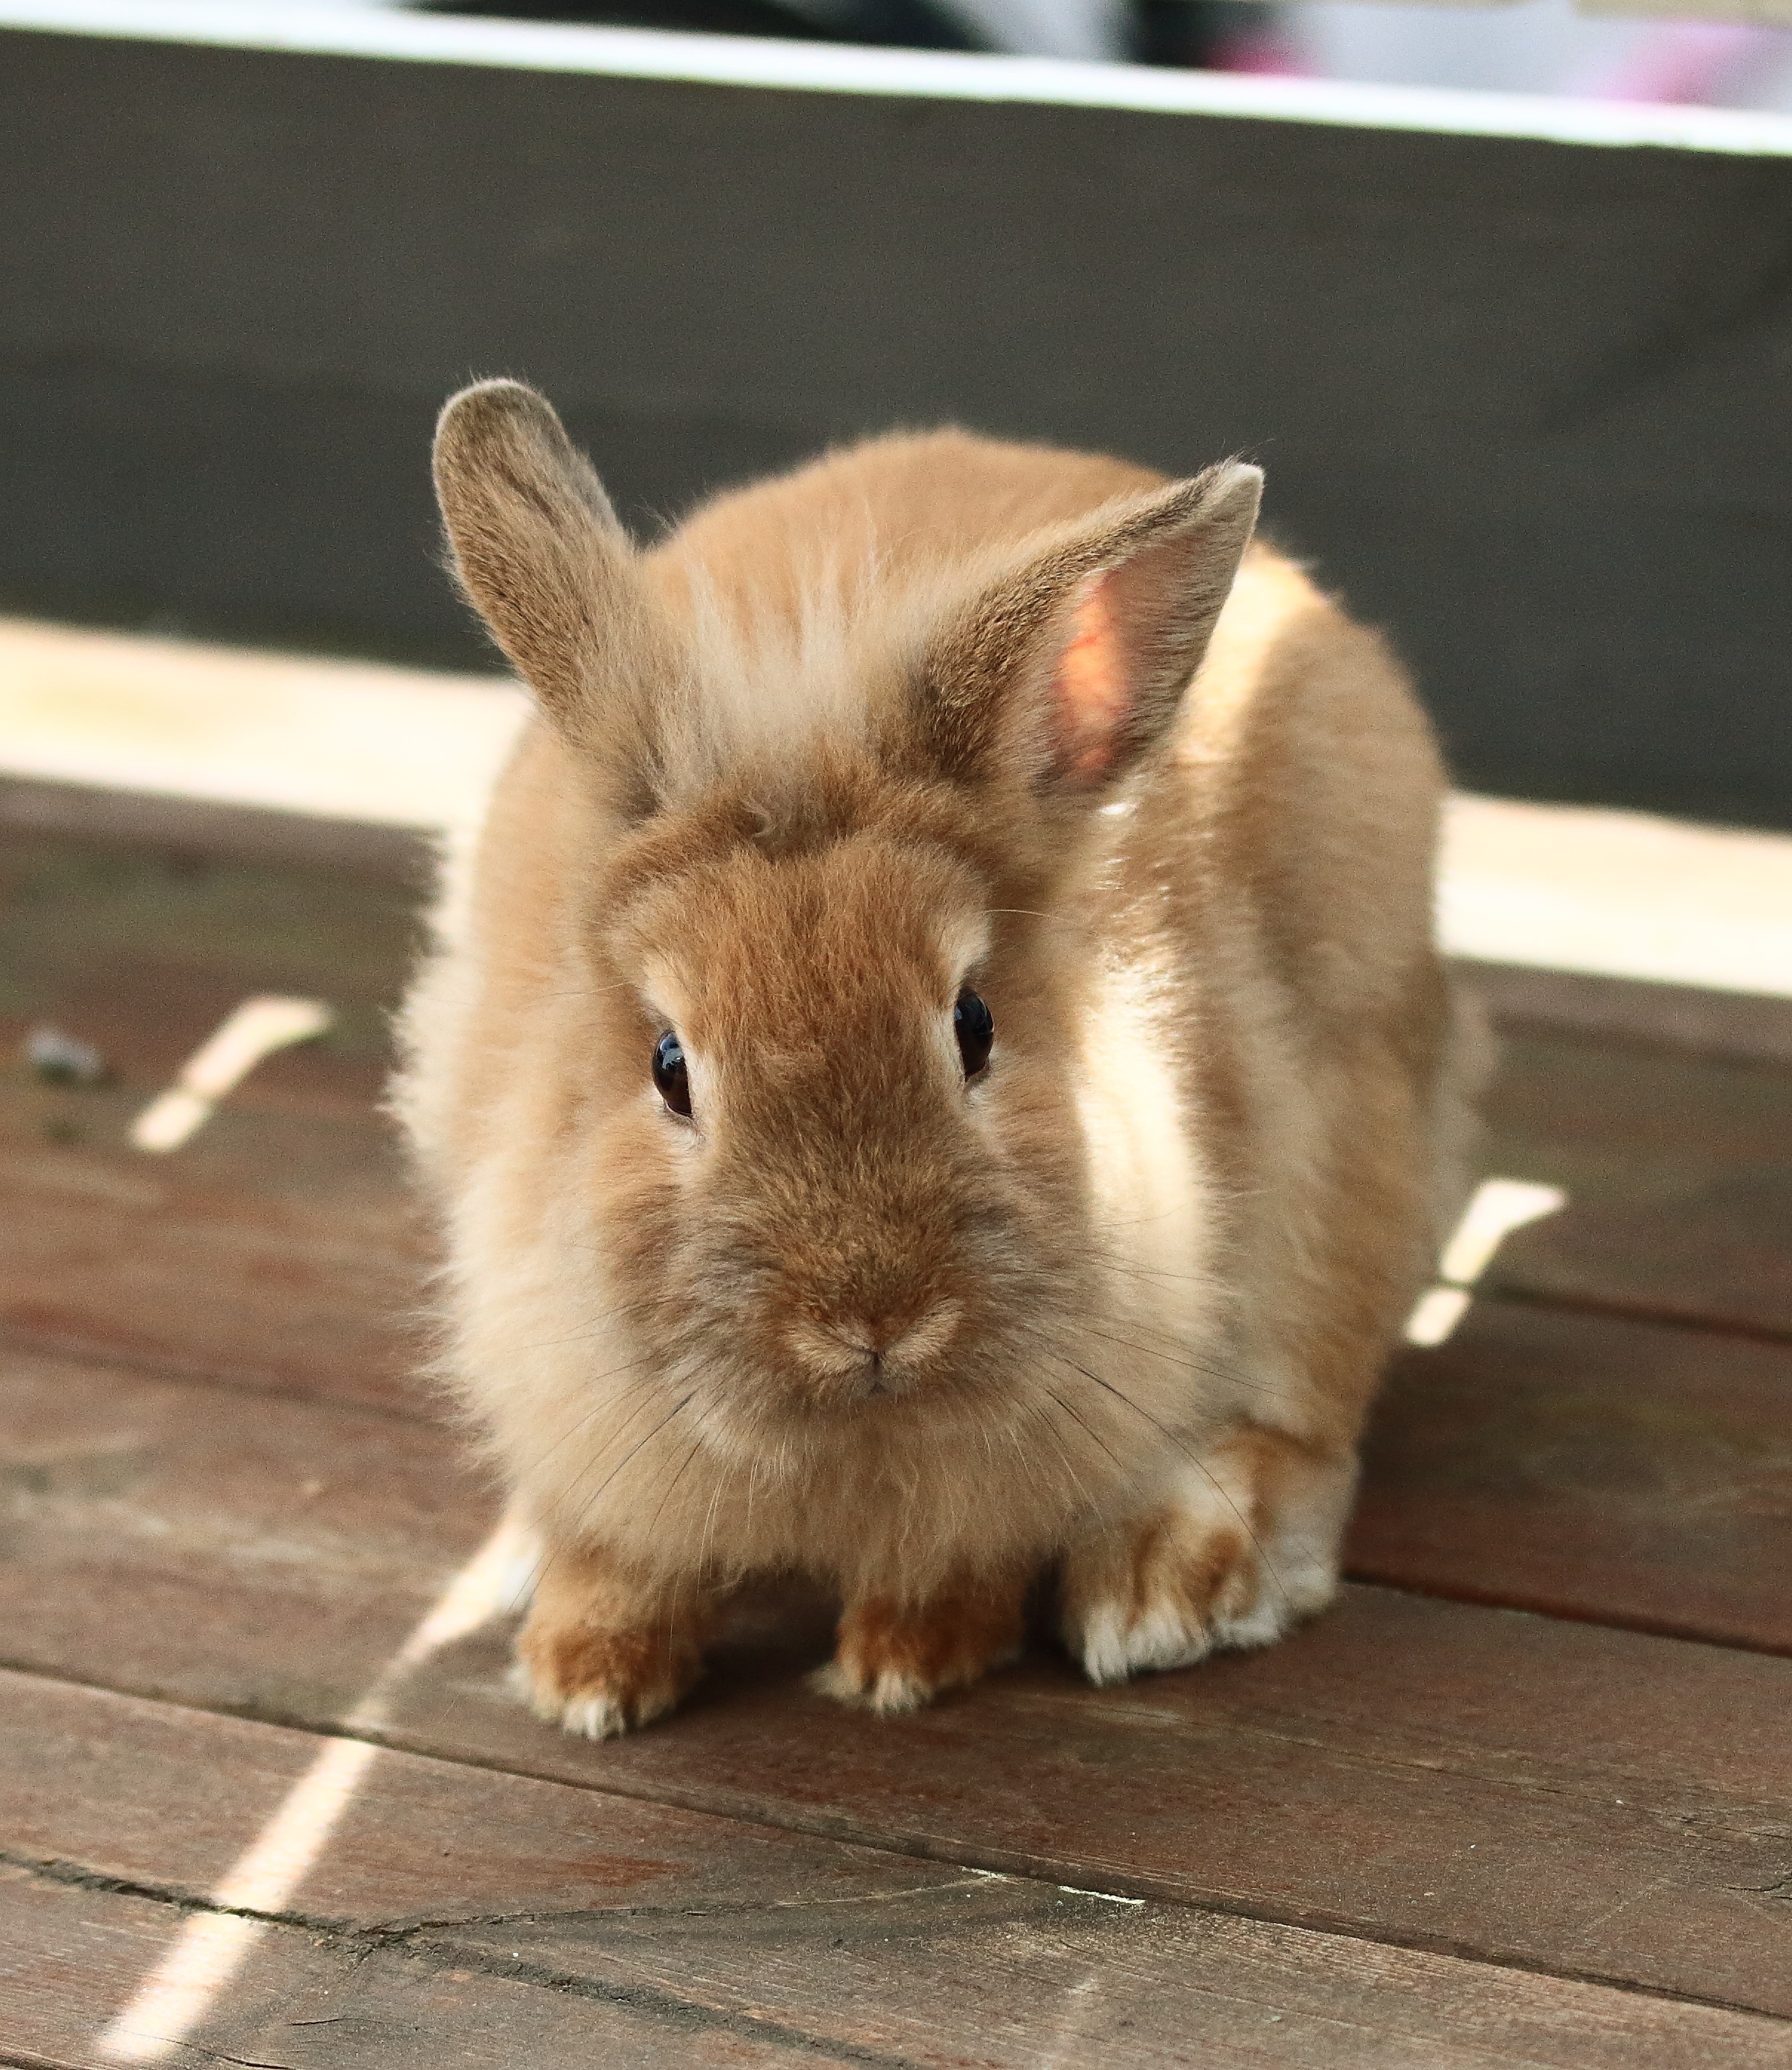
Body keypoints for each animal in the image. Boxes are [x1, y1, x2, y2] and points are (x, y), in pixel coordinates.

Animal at [397, 380, 1473, 1739]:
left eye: (973, 1026)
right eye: (669, 1067)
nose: (872, 1320)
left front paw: (907, 1659)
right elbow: (619, 1553)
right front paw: (585, 1674)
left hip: (1347, 1162)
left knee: (1302, 1424)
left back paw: (1164, 1584)